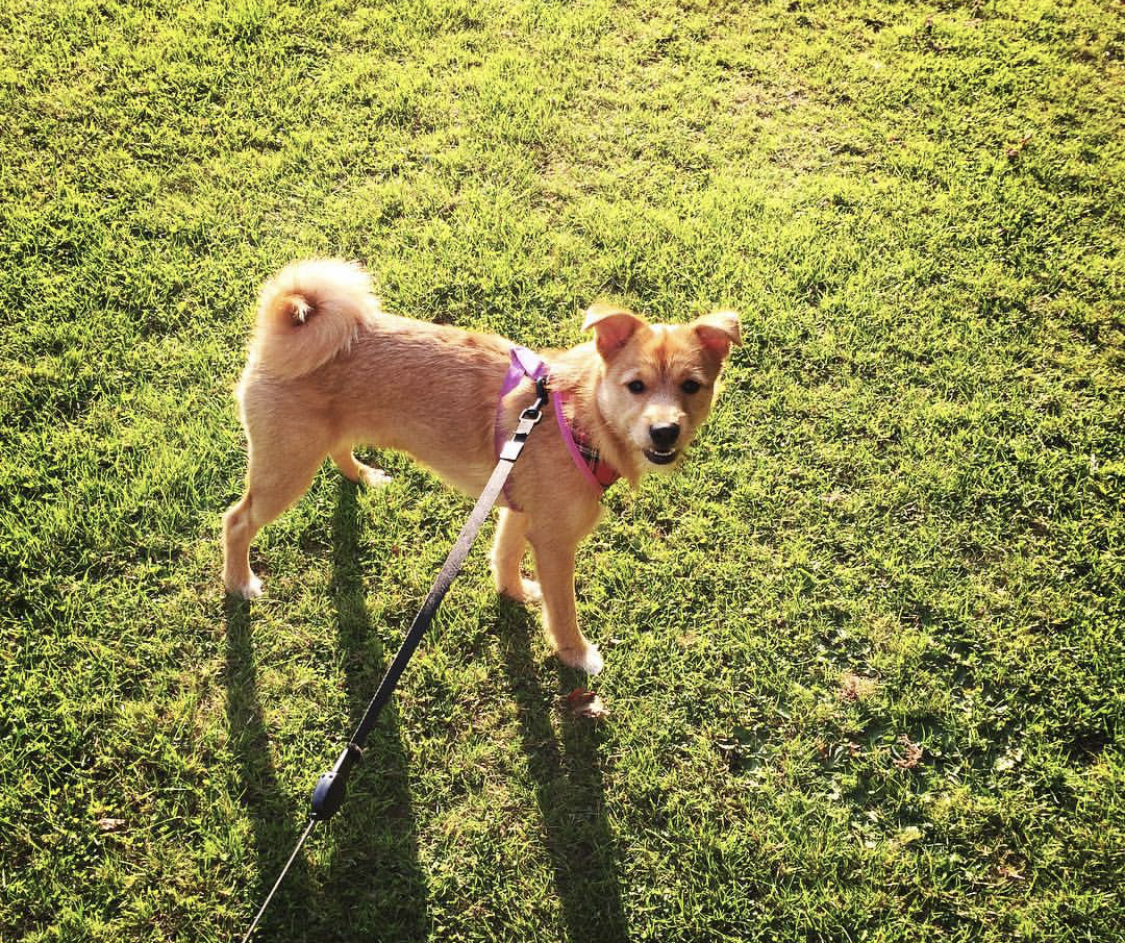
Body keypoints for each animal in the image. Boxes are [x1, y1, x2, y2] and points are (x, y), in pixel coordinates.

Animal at [223, 258, 742, 670]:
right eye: (636, 386)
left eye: (692, 387)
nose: (665, 431)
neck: (582, 416)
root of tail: (277, 331)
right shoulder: (555, 542)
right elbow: (563, 610)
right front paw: (576, 655)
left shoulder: (519, 510)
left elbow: (504, 556)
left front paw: (513, 593)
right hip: (285, 470)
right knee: (236, 520)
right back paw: (239, 582)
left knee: (339, 450)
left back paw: (364, 475)